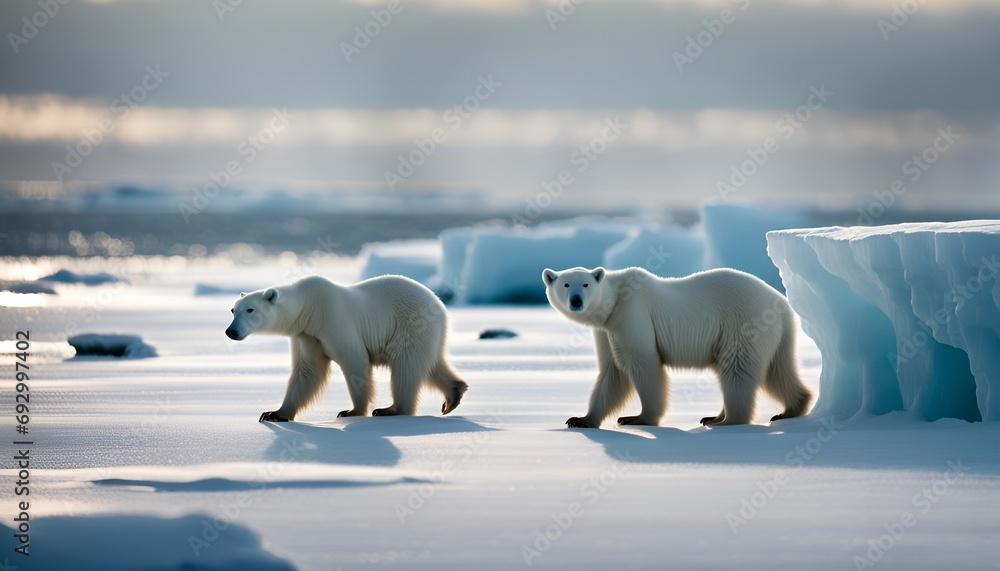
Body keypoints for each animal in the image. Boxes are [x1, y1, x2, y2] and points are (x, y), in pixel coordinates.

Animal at [225, 275, 468, 422]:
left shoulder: (333, 320)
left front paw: (351, 411)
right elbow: (307, 371)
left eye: (250, 309)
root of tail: (439, 304)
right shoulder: (307, 335)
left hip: (411, 326)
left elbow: (354, 361)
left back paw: (391, 409)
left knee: (406, 368)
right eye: (233, 310)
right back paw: (454, 393)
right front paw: (274, 413)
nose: (231, 331)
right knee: (431, 365)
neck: (308, 306)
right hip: (428, 334)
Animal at [542, 266, 812, 428]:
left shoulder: (632, 314)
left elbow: (642, 363)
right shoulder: (606, 330)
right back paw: (790, 408)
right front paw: (580, 419)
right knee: (778, 370)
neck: (616, 299)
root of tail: (782, 304)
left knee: (737, 369)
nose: (576, 301)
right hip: (777, 336)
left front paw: (636, 418)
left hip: (744, 322)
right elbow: (612, 372)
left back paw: (726, 421)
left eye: (585, 284)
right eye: (565, 285)